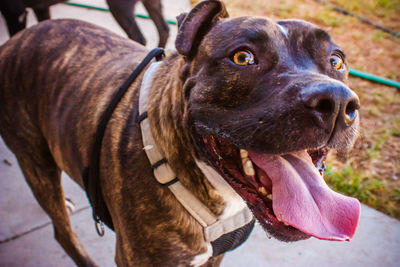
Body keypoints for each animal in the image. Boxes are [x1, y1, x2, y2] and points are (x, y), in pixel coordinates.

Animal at [0, 0, 360, 267]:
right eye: (243, 57)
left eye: (336, 61)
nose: (337, 102)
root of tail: (16, 40)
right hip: (34, 158)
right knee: (61, 229)